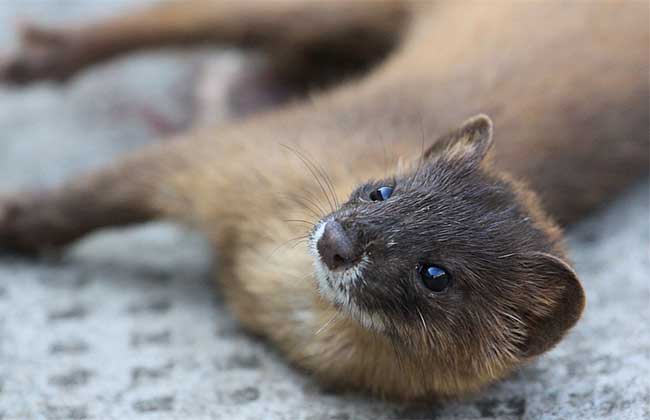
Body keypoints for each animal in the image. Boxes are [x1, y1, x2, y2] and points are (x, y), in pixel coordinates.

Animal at [1, 0, 648, 400]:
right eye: (383, 188)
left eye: (436, 274)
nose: (338, 240)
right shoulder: (233, 153)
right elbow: (90, 196)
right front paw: (14, 218)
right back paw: (38, 55)